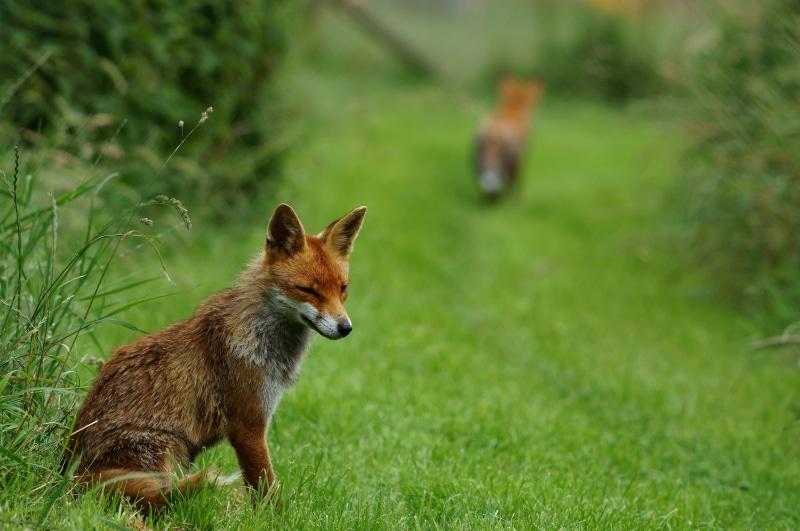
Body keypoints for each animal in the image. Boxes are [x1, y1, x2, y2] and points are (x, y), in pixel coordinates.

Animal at [61, 203, 367, 511]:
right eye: (308, 290)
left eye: (342, 288)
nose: (346, 328)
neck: (262, 335)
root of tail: (66, 476)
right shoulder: (248, 427)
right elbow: (266, 489)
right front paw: (276, 517)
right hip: (167, 450)